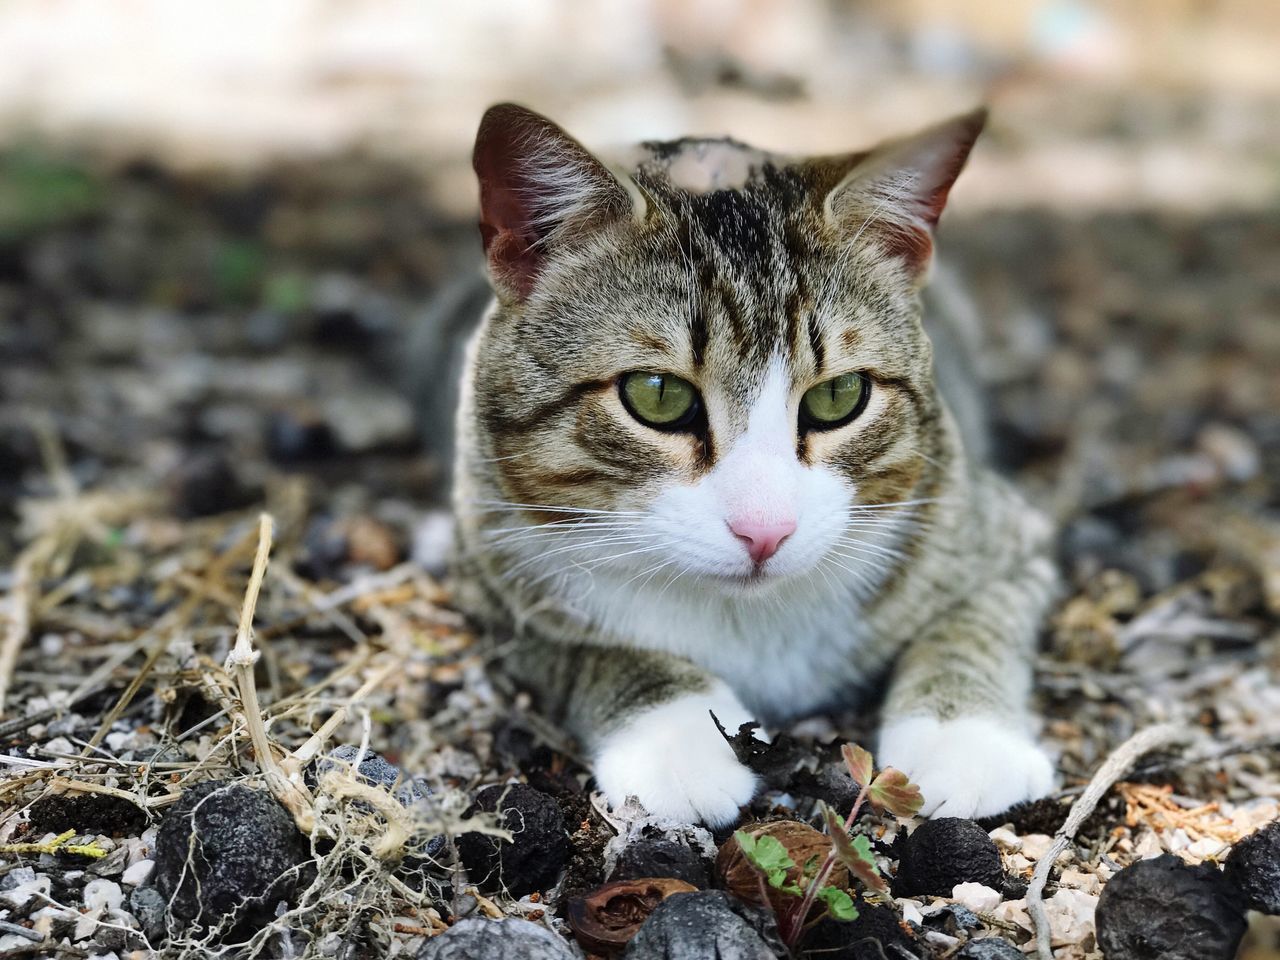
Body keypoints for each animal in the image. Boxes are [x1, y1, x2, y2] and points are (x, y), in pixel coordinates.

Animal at [453, 103, 1059, 829]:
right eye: (658, 396)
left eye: (840, 395)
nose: (764, 531)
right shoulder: (492, 564)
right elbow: (586, 648)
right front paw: (677, 737)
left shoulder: (997, 528)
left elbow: (977, 619)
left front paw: (963, 739)